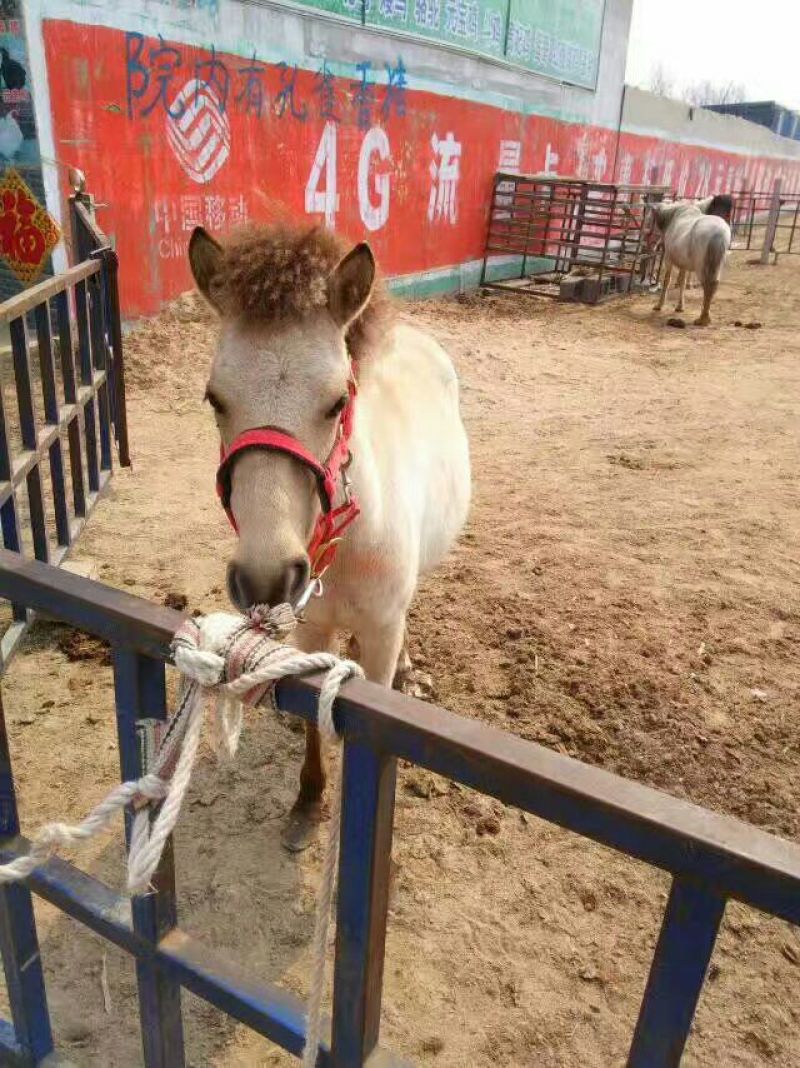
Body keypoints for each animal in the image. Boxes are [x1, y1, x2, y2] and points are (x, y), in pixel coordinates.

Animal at [189, 223, 471, 849]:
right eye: (214, 398)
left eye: (338, 400)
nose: (266, 574)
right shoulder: (310, 628)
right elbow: (316, 719)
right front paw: (307, 801)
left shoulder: (382, 632)